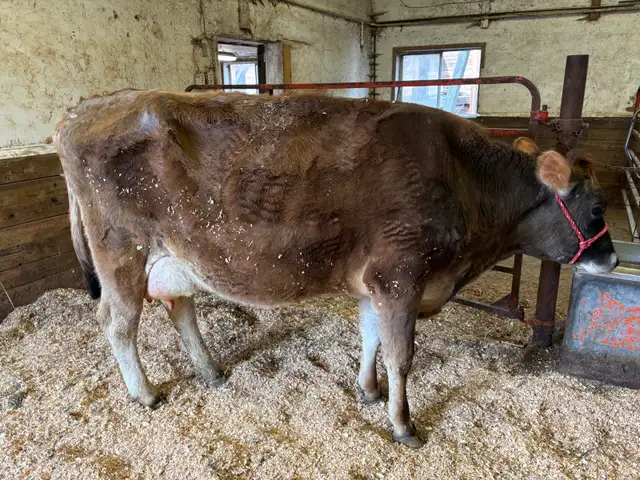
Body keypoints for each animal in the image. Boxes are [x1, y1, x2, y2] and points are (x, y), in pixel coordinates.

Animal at [53, 90, 617, 448]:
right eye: (597, 208)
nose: (611, 257)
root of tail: (85, 109)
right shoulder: (401, 275)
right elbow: (401, 356)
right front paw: (403, 425)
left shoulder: (375, 283)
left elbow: (370, 338)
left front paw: (367, 391)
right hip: (122, 254)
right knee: (118, 324)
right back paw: (145, 394)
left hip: (174, 257)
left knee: (180, 309)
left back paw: (210, 371)